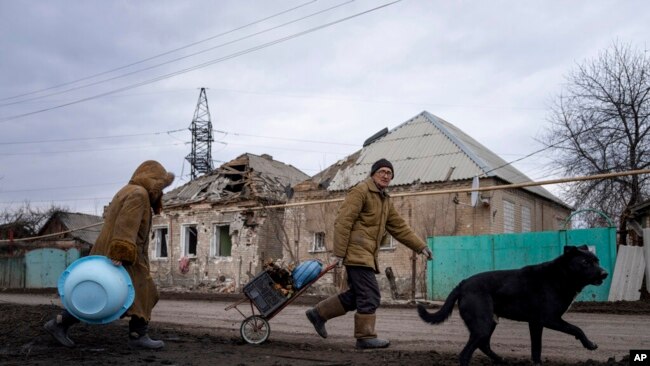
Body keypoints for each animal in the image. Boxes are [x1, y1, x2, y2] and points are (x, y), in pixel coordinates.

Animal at [418, 246, 604, 366]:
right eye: (585, 262)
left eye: (597, 260)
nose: (605, 273)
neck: (560, 275)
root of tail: (462, 284)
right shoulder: (549, 319)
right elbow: (576, 329)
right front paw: (590, 344)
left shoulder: (535, 323)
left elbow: (536, 349)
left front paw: (536, 363)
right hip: (482, 324)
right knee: (465, 355)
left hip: (489, 323)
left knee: (484, 345)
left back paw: (500, 360)